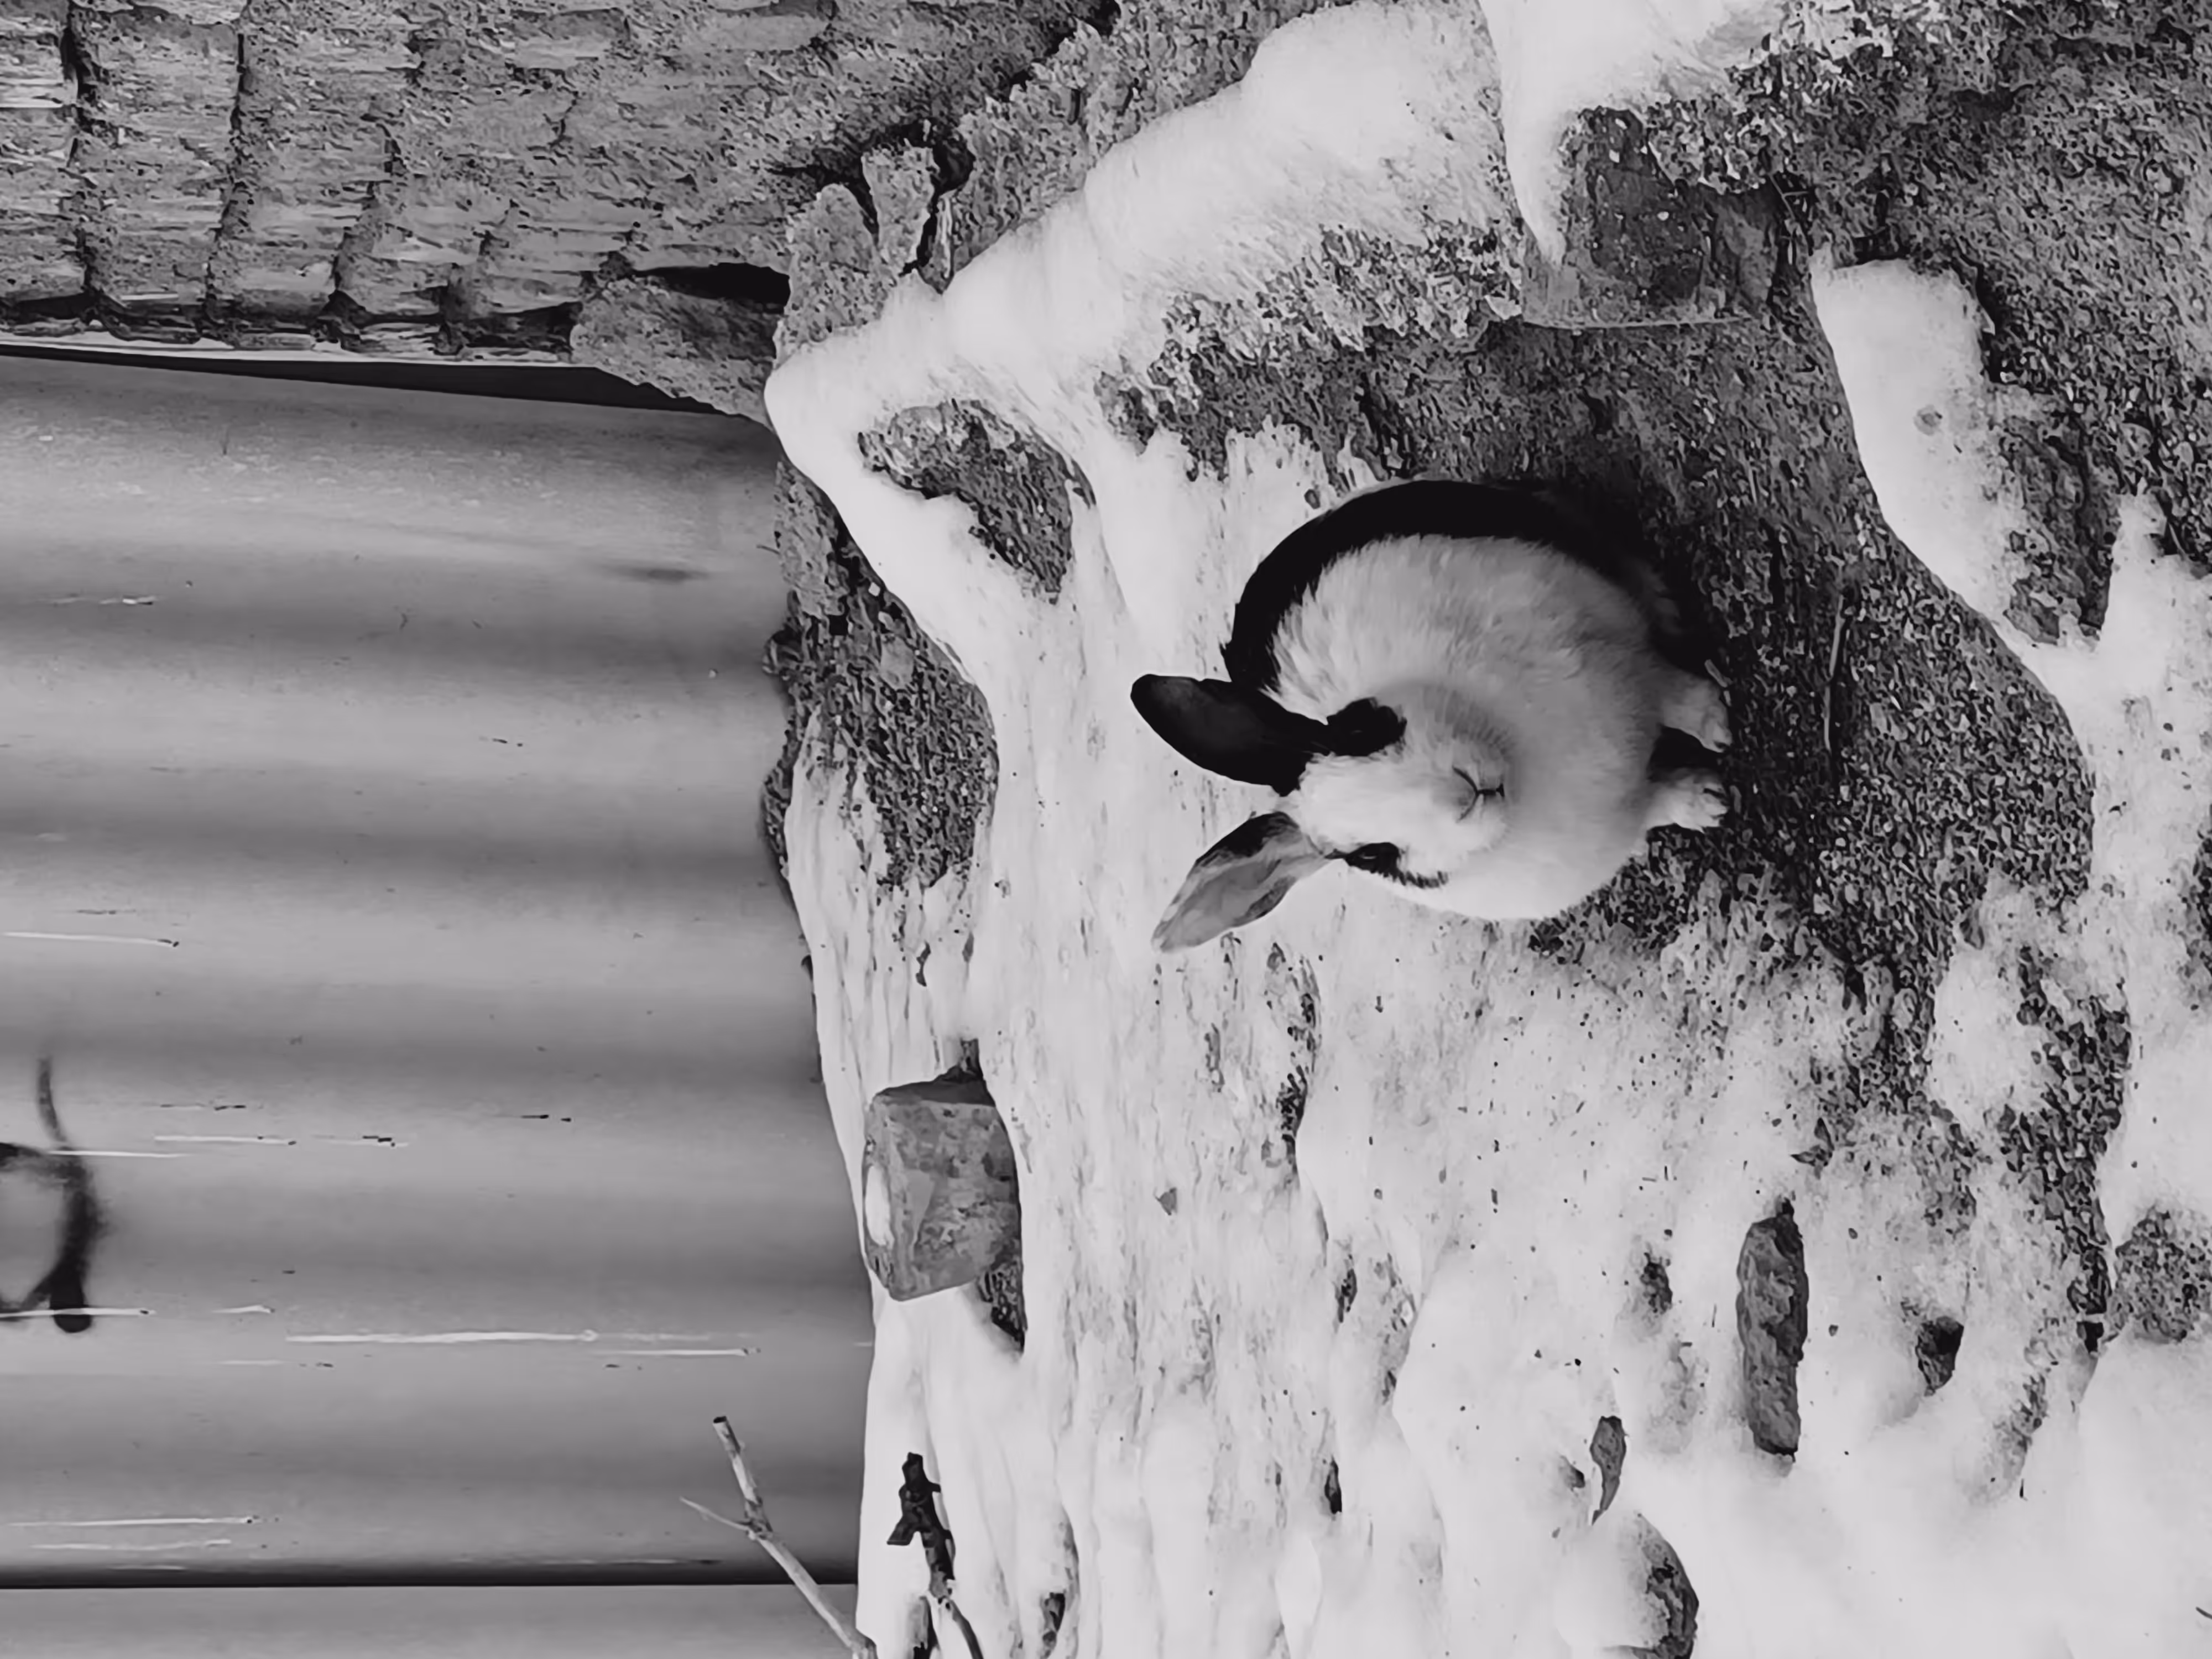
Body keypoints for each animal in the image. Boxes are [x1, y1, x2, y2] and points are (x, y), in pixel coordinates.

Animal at [1131, 479, 1732, 952]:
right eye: (1371, 855)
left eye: (1361, 728)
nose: (1462, 794)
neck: (1520, 772)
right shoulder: (1619, 820)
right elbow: (1663, 799)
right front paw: (1709, 803)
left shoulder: (1617, 650)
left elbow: (1676, 695)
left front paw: (1719, 729)